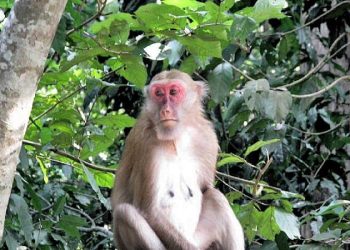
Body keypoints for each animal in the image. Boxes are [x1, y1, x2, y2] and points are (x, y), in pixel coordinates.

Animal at [110, 69, 245, 250]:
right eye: (159, 93)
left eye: (173, 92)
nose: (165, 110)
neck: (175, 138)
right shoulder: (146, 143)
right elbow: (149, 210)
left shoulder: (207, 136)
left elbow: (206, 189)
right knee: (125, 213)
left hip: (198, 239)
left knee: (216, 197)